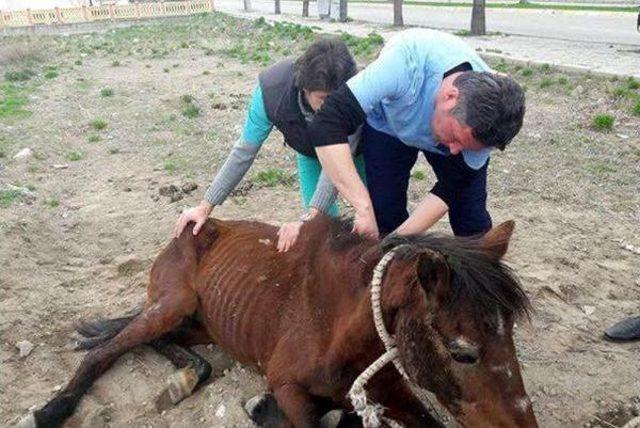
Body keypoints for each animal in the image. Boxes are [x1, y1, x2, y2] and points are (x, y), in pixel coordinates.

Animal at [18, 216, 536, 426]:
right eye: (463, 352)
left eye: (510, 334)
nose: (522, 426)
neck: (337, 326)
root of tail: (194, 225)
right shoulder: (287, 386)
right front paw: (261, 409)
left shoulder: (393, 389)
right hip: (172, 304)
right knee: (111, 348)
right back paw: (50, 410)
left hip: (202, 321)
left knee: (154, 341)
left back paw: (186, 375)